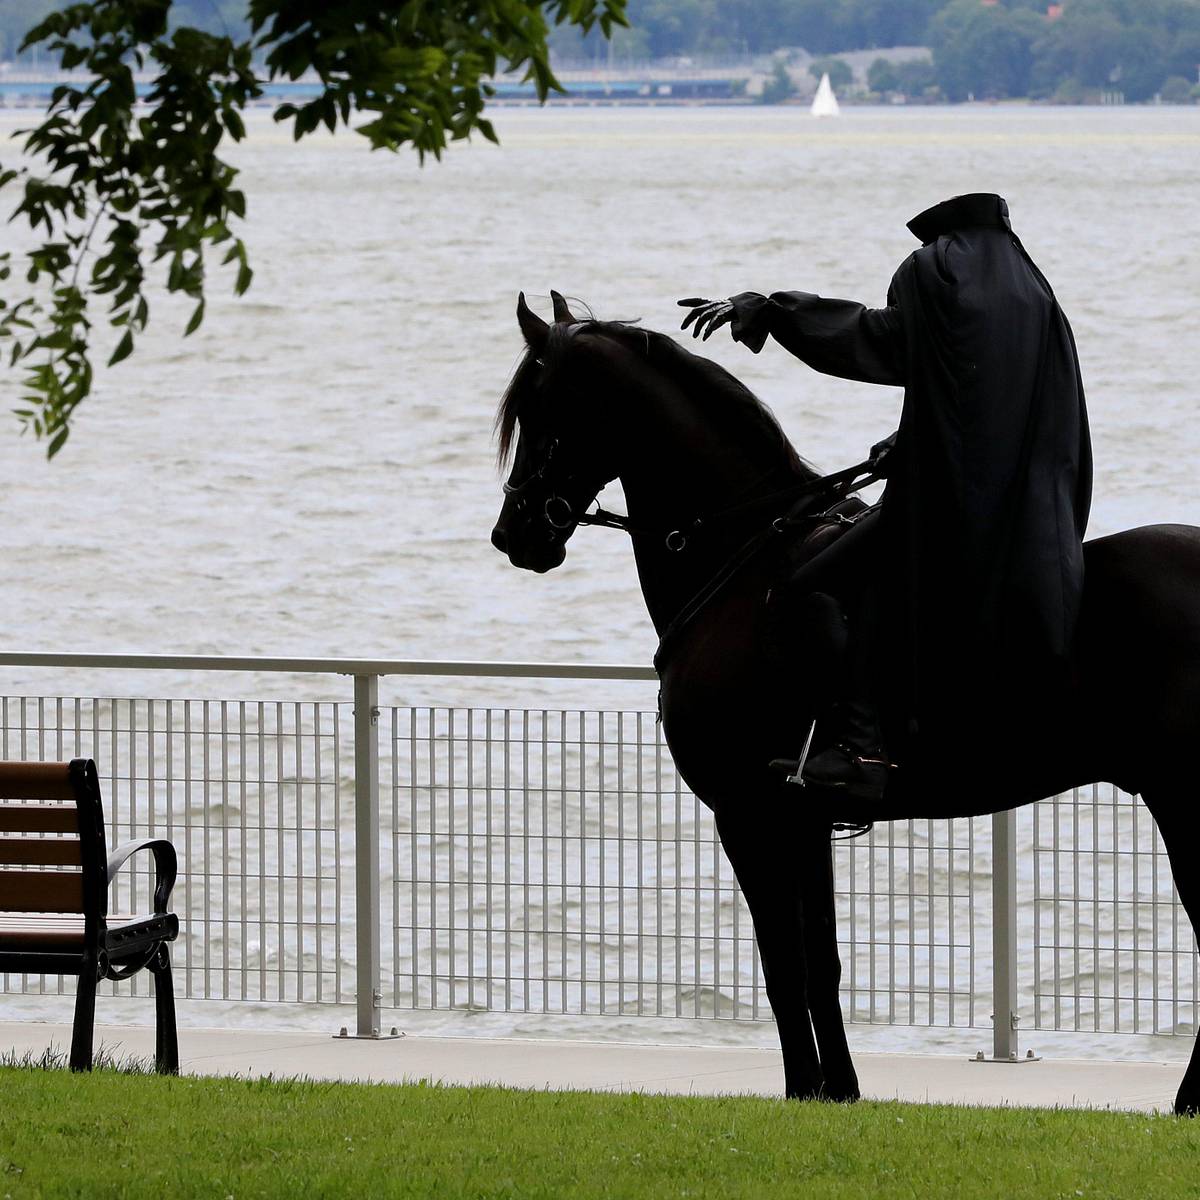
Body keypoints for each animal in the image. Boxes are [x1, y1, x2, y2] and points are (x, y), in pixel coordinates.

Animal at [490, 292, 1200, 1115]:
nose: (514, 533)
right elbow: (821, 963)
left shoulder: (748, 813)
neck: (743, 566)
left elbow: (783, 966)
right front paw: (840, 1092)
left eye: (538, 406)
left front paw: (802, 1088)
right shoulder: (804, 820)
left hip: (1184, 802)